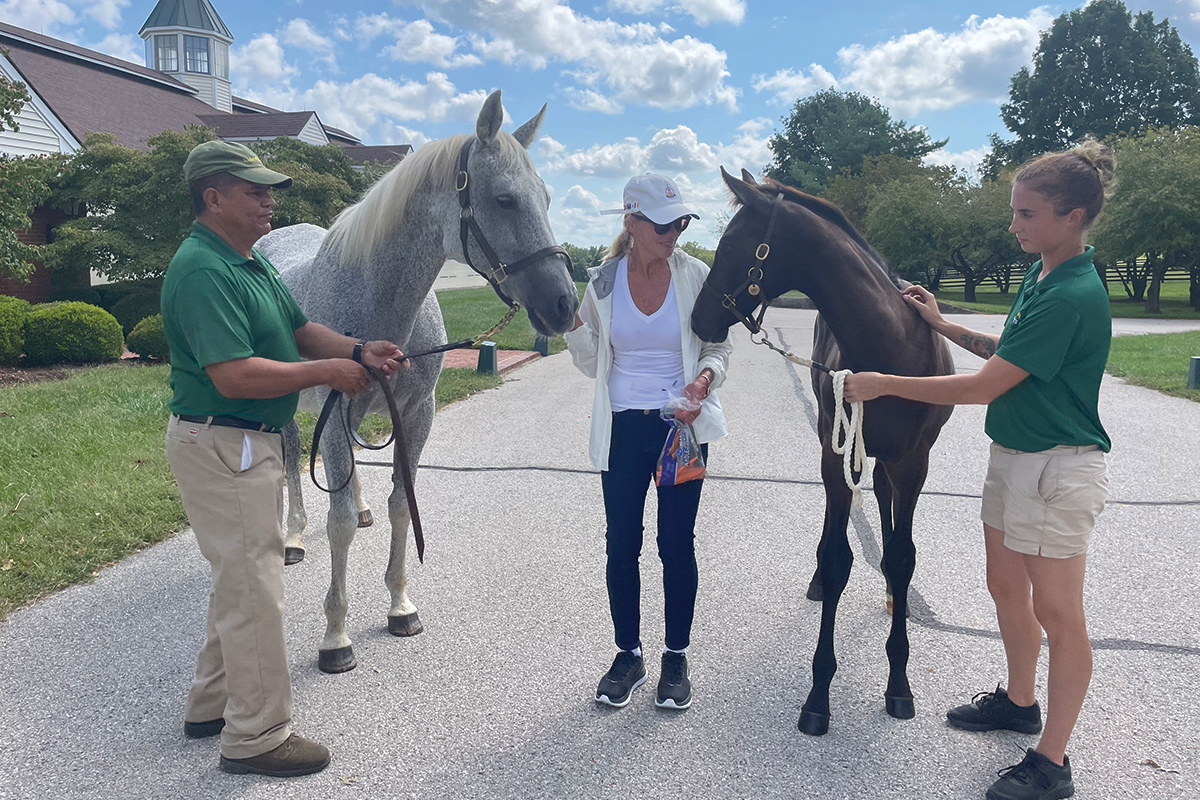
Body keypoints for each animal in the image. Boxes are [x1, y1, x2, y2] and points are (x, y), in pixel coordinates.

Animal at [258, 90, 580, 671]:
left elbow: (400, 505)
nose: (564, 304)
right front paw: (335, 635)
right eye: (504, 199)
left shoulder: (415, 413)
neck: (377, 304)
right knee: (294, 458)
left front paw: (401, 605)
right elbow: (337, 521)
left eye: (545, 198)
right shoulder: (334, 415)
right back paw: (292, 535)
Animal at [691, 170, 950, 738]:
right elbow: (835, 559)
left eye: (731, 246)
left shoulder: (914, 462)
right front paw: (818, 695)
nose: (699, 320)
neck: (890, 348)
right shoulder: (835, 455)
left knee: (884, 507)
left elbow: (903, 555)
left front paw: (899, 684)